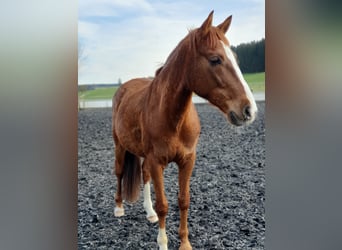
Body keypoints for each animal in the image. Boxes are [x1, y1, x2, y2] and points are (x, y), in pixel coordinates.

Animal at [111, 11, 256, 250]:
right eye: (215, 59)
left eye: (235, 58)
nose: (249, 110)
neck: (173, 119)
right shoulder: (157, 162)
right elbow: (164, 204)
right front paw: (162, 243)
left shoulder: (187, 160)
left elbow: (183, 201)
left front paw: (185, 243)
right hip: (120, 146)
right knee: (120, 172)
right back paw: (119, 208)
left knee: (144, 175)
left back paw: (149, 213)